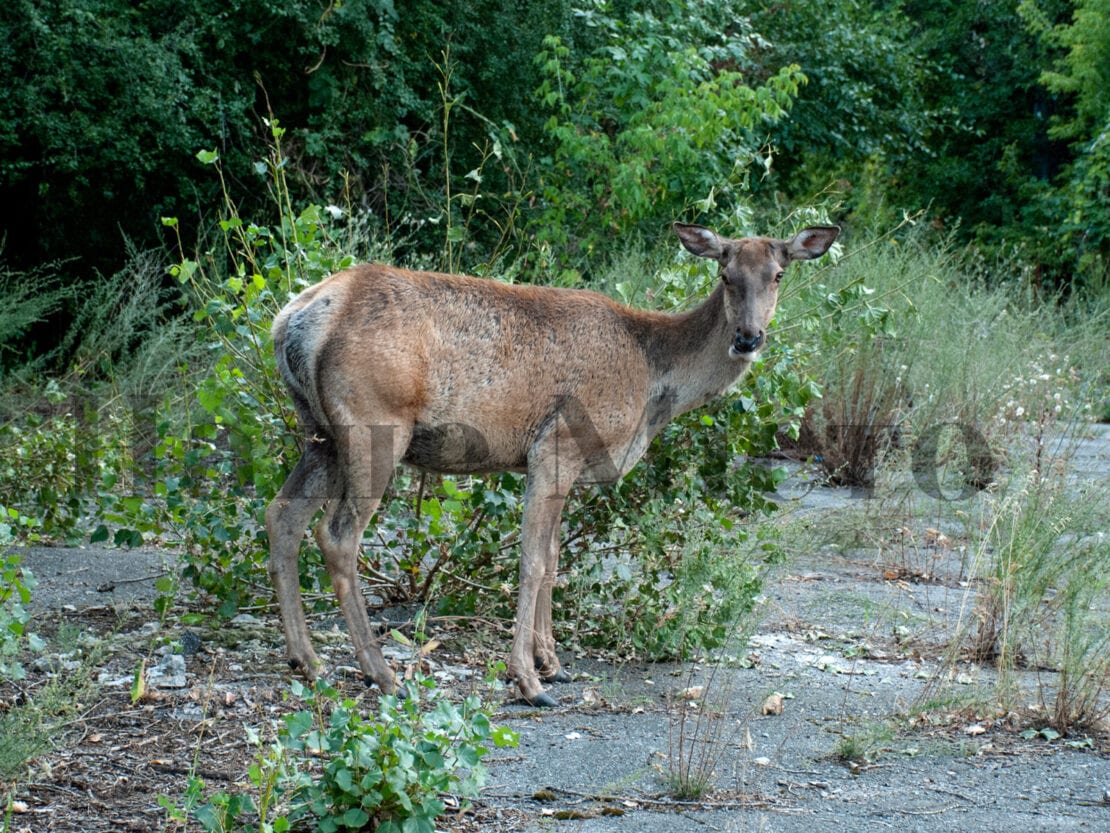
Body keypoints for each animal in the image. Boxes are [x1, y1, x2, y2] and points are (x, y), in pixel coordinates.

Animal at [266, 219, 839, 706]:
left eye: (778, 274)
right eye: (725, 274)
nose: (748, 337)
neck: (654, 382)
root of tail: (293, 320)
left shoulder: (563, 466)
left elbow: (554, 559)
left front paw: (553, 662)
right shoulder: (555, 445)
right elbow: (534, 561)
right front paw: (527, 679)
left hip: (319, 433)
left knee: (282, 515)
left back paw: (307, 660)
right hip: (373, 424)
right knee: (337, 534)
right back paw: (381, 673)